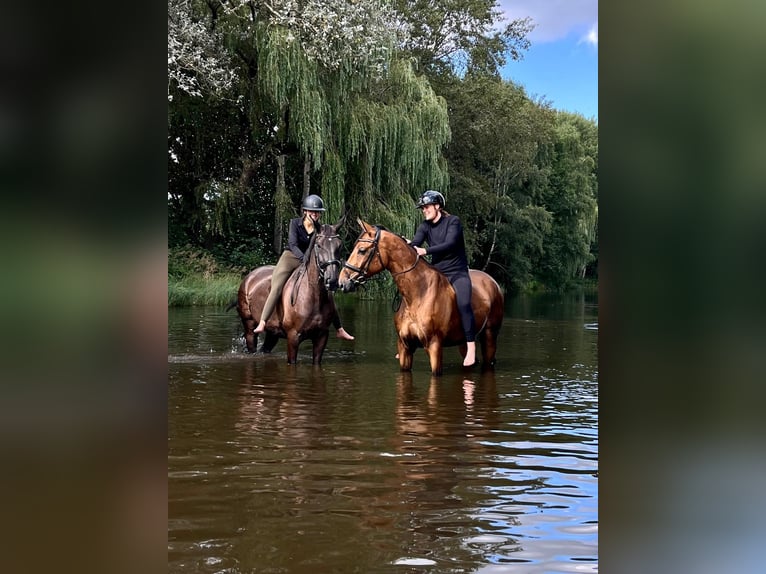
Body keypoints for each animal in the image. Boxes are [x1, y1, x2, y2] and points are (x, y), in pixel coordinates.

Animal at [340, 218, 508, 376]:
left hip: (490, 336)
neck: (417, 294)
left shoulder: (434, 346)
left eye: (362, 250)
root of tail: (493, 282)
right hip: (463, 343)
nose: (342, 282)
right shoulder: (405, 347)